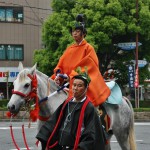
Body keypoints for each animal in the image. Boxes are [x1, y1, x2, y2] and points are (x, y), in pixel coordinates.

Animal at [7, 62, 136, 150]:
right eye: (13, 83)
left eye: (26, 84)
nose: (11, 106)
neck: (50, 108)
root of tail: (124, 99)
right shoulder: (44, 141)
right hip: (106, 137)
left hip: (122, 135)